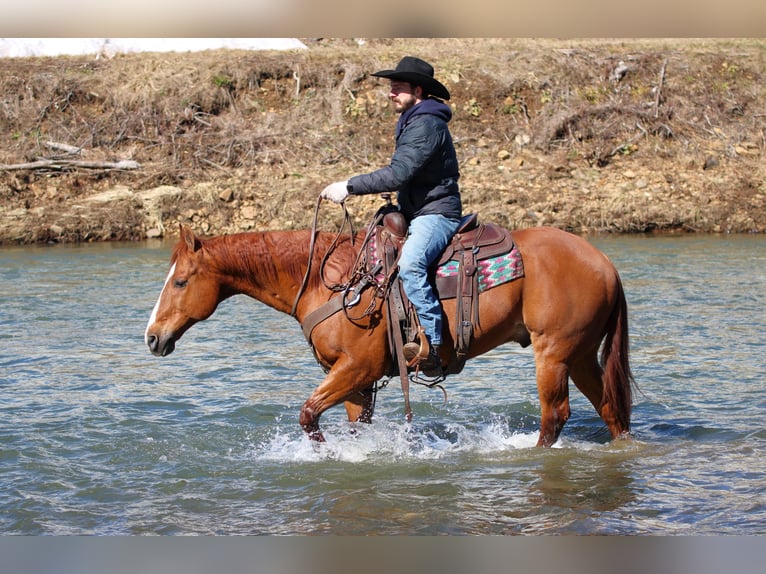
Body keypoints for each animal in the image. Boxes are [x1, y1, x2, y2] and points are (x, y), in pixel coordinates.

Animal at [145, 221, 635, 447]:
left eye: (180, 281)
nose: (152, 337)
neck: (332, 281)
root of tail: (605, 264)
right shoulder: (353, 380)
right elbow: (353, 427)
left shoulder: (357, 367)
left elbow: (308, 415)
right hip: (580, 355)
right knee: (612, 409)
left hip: (553, 353)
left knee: (556, 415)